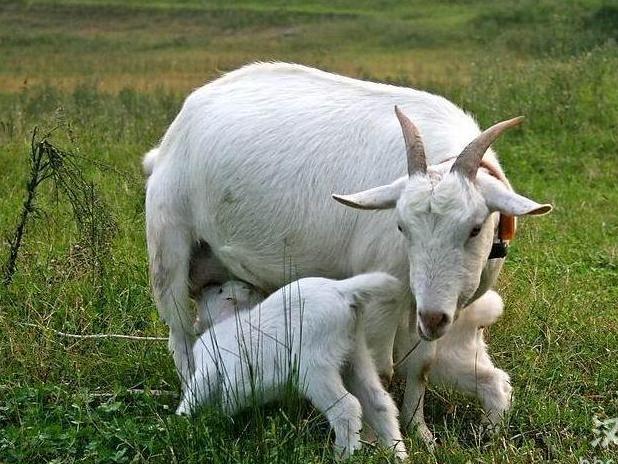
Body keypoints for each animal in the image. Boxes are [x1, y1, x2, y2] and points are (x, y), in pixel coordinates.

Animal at [143, 63, 548, 434]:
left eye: (475, 228)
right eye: (401, 226)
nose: (433, 319)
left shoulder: (438, 306)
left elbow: (421, 365)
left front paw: (420, 433)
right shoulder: (383, 301)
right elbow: (380, 371)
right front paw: (376, 438)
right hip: (168, 242)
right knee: (181, 334)